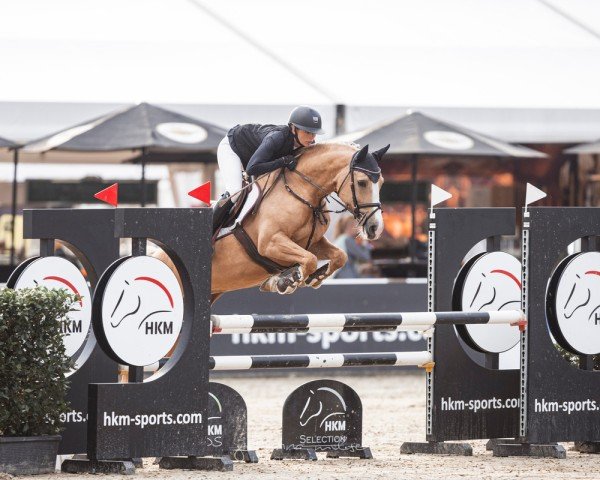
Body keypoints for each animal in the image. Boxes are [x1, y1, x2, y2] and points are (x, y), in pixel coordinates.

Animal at [156, 142, 390, 304]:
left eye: (382, 183)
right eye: (362, 182)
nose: (375, 228)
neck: (302, 191)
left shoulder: (312, 242)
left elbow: (338, 256)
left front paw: (315, 278)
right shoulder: (270, 242)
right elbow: (310, 260)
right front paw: (286, 281)